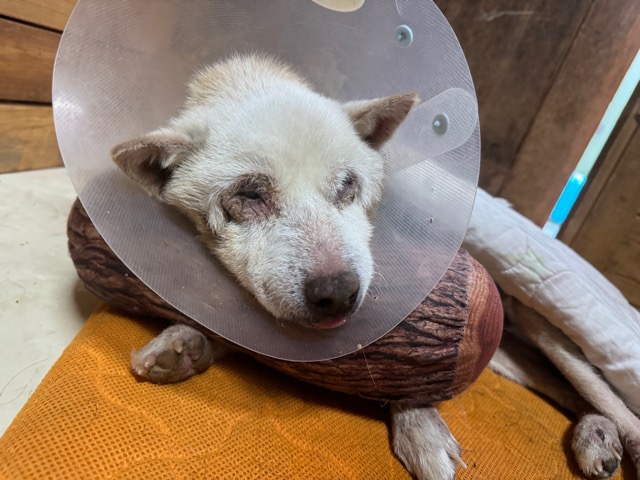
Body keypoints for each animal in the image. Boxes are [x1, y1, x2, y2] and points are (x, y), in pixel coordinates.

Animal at [110, 54, 635, 479]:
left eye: (349, 185)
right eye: (249, 195)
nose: (339, 293)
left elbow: (414, 359)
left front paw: (421, 428)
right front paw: (186, 341)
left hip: (547, 328)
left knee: (604, 393)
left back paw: (612, 436)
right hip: (511, 355)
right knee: (559, 388)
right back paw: (596, 437)